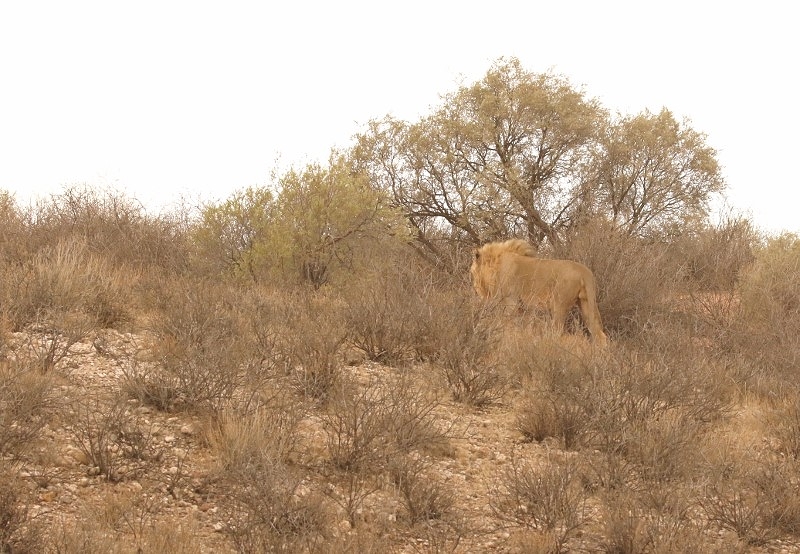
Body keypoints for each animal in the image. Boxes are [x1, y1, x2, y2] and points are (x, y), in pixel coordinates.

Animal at [470, 239, 608, 345]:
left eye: (472, 272)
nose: (475, 286)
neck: (496, 266)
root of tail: (585, 272)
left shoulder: (511, 303)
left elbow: (507, 327)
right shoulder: (524, 308)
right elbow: (524, 328)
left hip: (559, 303)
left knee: (558, 331)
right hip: (586, 304)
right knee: (599, 335)